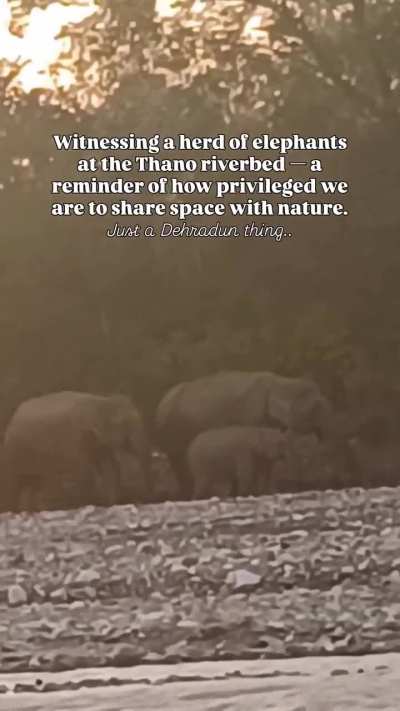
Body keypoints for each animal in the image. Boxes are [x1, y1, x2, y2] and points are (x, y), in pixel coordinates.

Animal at [2, 391, 150, 513]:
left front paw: (109, 503)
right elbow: (84, 472)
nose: (140, 500)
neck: (102, 402)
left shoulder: (98, 444)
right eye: (124, 424)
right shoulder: (77, 440)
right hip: (14, 452)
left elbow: (108, 467)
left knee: (33, 484)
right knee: (16, 484)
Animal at [155, 370, 332, 497]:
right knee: (180, 462)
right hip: (171, 432)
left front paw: (266, 492)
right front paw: (254, 492)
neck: (279, 381)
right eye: (315, 406)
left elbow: (267, 459)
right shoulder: (251, 415)